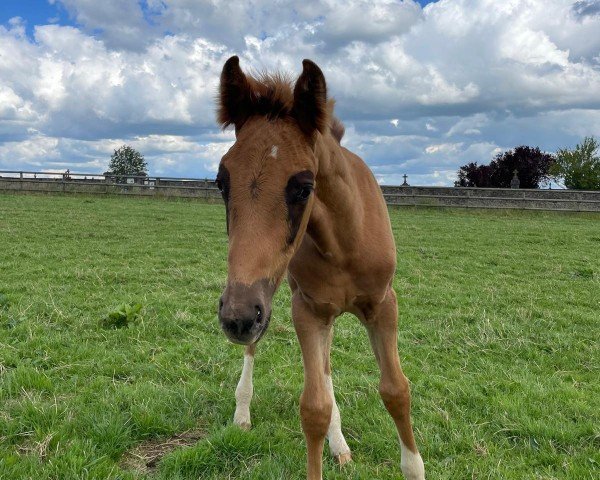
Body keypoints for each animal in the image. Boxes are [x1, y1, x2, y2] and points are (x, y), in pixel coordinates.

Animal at [216, 57, 426, 480]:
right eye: (220, 182)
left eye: (304, 187)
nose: (236, 317)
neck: (343, 244)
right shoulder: (306, 309)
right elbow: (314, 408)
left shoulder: (384, 304)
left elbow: (396, 389)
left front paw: (413, 467)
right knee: (260, 350)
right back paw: (243, 412)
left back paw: (340, 445)